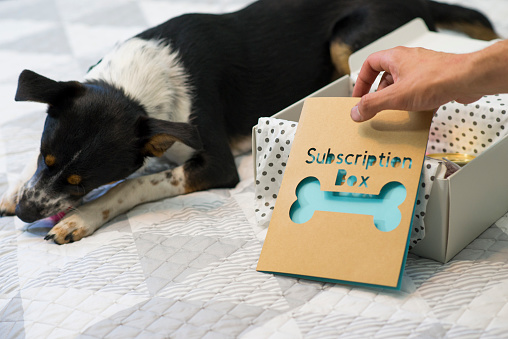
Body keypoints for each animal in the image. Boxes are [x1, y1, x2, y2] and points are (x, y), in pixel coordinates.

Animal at [0, 0, 498, 244]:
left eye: (82, 182)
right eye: (47, 159)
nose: (25, 215)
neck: (135, 89)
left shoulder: (215, 164)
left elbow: (130, 186)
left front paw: (79, 219)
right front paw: (12, 191)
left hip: (349, 43)